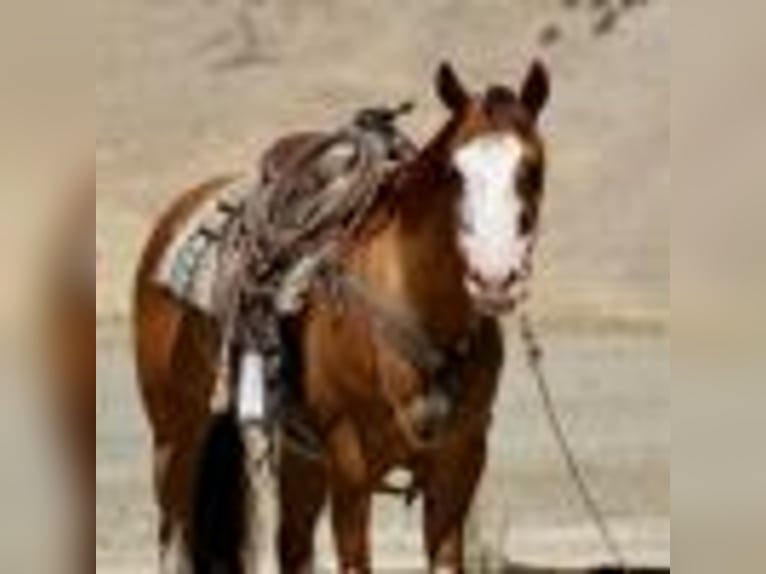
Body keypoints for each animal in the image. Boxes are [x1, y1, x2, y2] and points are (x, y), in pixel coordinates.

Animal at [133, 60, 550, 573]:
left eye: (532, 168)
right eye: (455, 172)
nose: (494, 280)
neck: (415, 308)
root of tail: (179, 211)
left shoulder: (461, 462)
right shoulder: (351, 466)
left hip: (300, 456)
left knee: (293, 543)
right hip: (174, 435)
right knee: (173, 534)